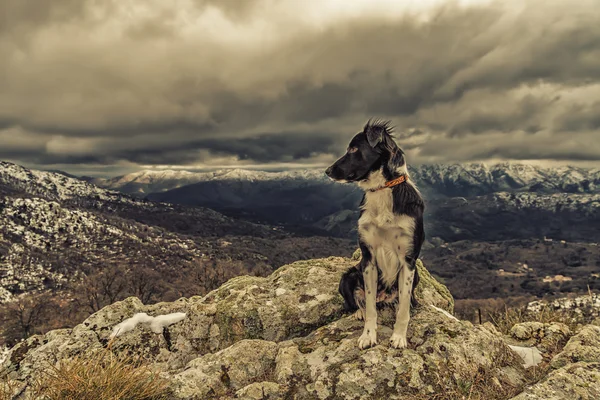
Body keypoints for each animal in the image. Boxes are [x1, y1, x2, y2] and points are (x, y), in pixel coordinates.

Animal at [326, 119, 424, 350]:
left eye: (354, 149)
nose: (327, 171)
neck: (382, 189)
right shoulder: (368, 258)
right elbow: (370, 306)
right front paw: (368, 335)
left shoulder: (408, 260)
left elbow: (403, 307)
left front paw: (399, 337)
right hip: (348, 276)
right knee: (356, 302)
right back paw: (358, 313)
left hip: (416, 274)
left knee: (405, 299)